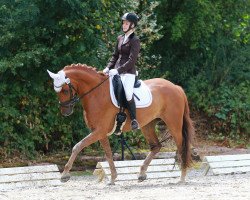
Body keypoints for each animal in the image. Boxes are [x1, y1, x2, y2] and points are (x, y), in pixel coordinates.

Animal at [47, 63, 195, 184]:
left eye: (65, 90)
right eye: (56, 91)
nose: (65, 112)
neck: (96, 93)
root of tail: (176, 87)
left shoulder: (99, 131)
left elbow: (77, 146)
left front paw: (65, 175)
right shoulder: (100, 132)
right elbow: (108, 153)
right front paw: (113, 178)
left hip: (173, 123)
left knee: (181, 146)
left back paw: (182, 177)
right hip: (148, 125)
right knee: (156, 146)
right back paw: (142, 174)